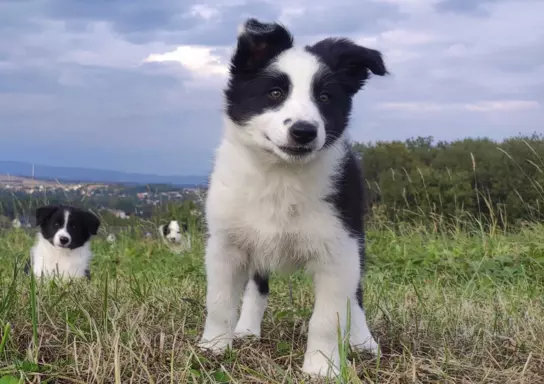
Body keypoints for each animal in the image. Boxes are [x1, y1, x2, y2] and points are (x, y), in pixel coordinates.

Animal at [199, 18, 386, 376]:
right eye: (275, 93)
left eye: (325, 97)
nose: (304, 131)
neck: (280, 175)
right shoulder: (226, 245)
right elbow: (219, 302)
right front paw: (213, 347)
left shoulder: (339, 251)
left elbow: (328, 317)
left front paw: (322, 367)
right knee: (258, 285)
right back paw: (247, 329)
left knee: (355, 296)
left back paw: (363, 340)